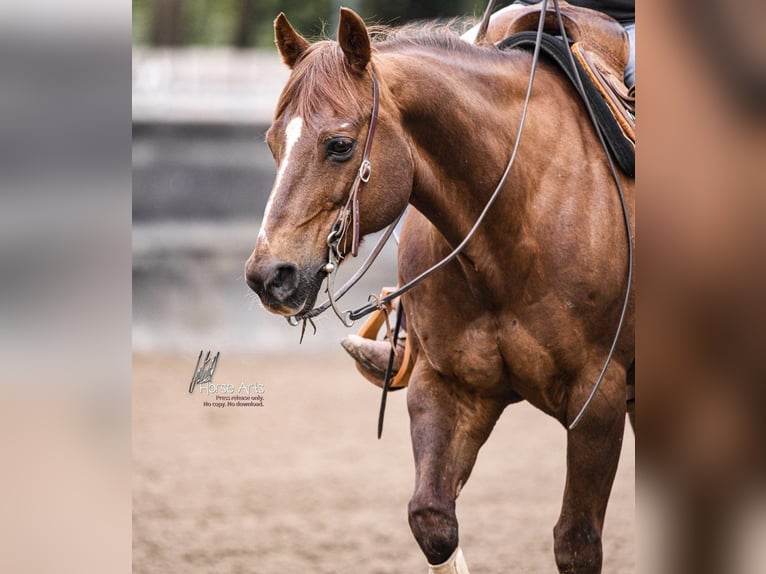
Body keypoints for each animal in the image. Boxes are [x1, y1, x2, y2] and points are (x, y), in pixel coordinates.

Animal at [245, 8, 634, 573]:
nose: (268, 275)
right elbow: (433, 522)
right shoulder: (448, 386)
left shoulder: (598, 399)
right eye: (274, 142)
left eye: (339, 145)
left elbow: (576, 543)